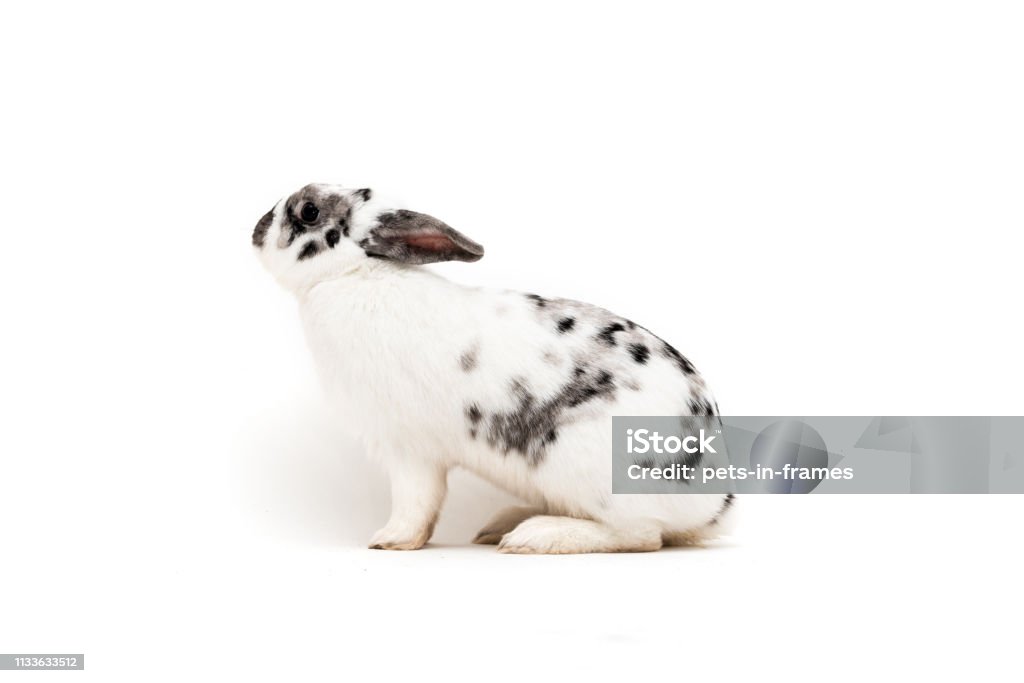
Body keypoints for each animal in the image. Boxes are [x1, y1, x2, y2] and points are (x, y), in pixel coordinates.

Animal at [252, 183, 736, 553]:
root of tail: (714, 504)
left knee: (641, 535)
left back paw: (533, 537)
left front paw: (389, 540)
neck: (350, 276)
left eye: (309, 211)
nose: (257, 229)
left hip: (587, 469)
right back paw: (502, 524)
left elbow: (416, 502)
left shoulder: (409, 450)